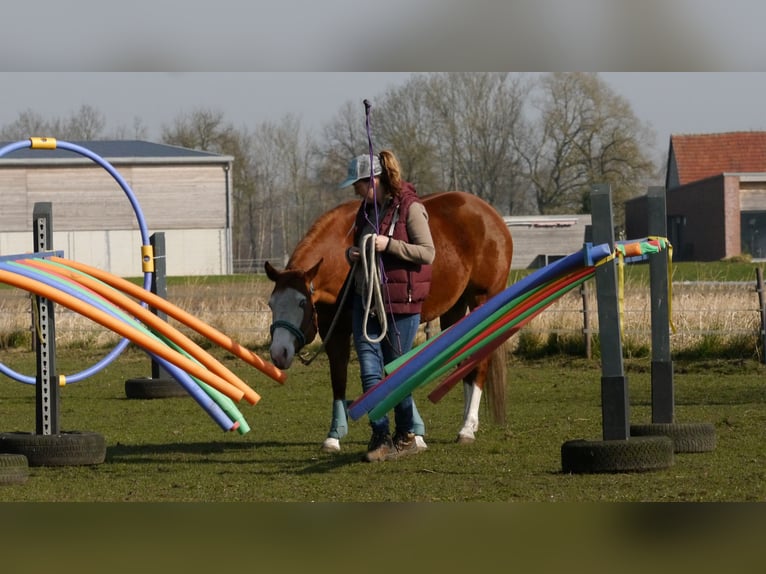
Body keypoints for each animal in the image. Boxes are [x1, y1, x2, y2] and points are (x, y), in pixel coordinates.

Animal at [264, 190, 514, 453]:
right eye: (271, 304)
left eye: (302, 303)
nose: (279, 353)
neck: (345, 263)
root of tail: (492, 216)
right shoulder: (335, 332)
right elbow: (339, 379)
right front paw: (334, 435)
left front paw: (415, 434)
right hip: (454, 309)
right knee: (463, 359)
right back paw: (468, 422)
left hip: (483, 299)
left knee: (480, 359)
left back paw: (467, 427)